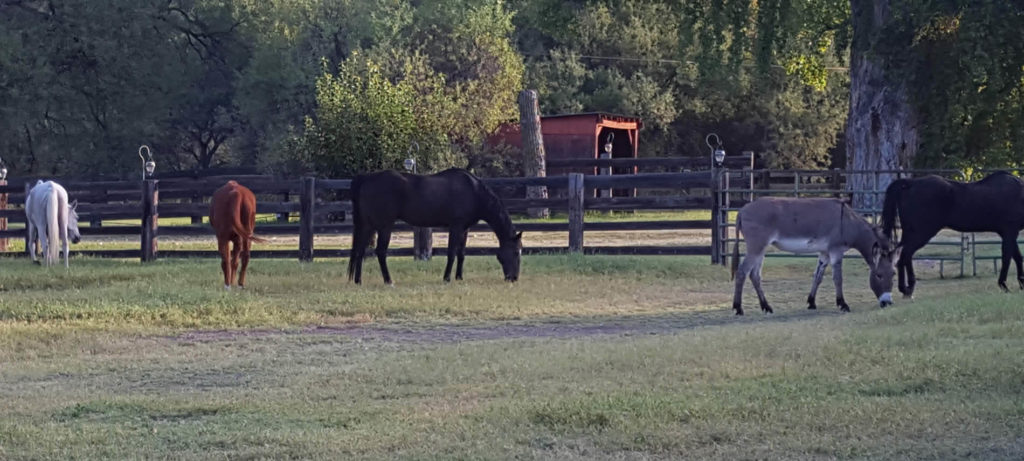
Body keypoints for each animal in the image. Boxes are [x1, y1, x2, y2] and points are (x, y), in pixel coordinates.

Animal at [348, 169, 524, 284]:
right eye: (516, 252)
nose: (513, 278)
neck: (474, 192)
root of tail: (367, 178)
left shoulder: (465, 229)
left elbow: (461, 254)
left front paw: (459, 277)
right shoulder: (456, 227)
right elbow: (451, 253)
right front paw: (446, 278)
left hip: (368, 225)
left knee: (360, 251)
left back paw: (358, 280)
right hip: (384, 226)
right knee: (380, 252)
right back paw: (388, 280)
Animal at [880, 171, 1024, 297]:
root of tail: (910, 183)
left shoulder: (1008, 233)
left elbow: (1017, 257)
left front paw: (1021, 283)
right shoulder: (1010, 232)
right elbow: (1007, 258)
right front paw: (1004, 285)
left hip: (911, 233)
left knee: (902, 255)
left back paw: (906, 289)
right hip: (921, 233)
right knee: (905, 254)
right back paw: (907, 289)